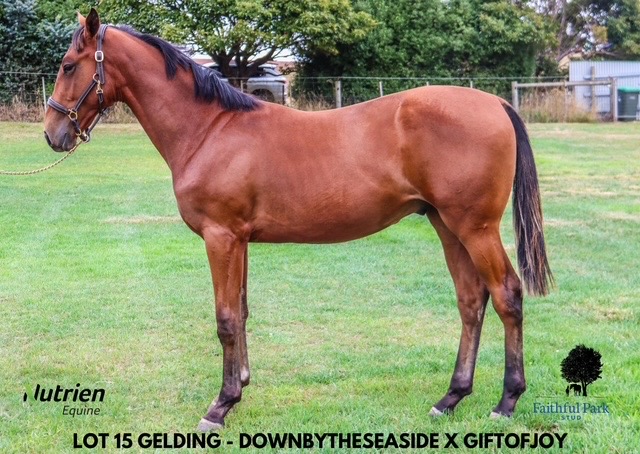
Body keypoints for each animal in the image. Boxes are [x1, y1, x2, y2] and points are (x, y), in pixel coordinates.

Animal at [44, 9, 553, 431]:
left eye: (69, 65)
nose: (53, 134)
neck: (210, 129)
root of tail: (496, 104)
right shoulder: (239, 240)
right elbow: (242, 311)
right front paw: (241, 386)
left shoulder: (220, 237)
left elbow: (225, 318)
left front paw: (220, 406)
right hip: (447, 227)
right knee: (471, 301)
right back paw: (450, 398)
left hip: (475, 228)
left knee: (507, 295)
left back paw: (506, 402)